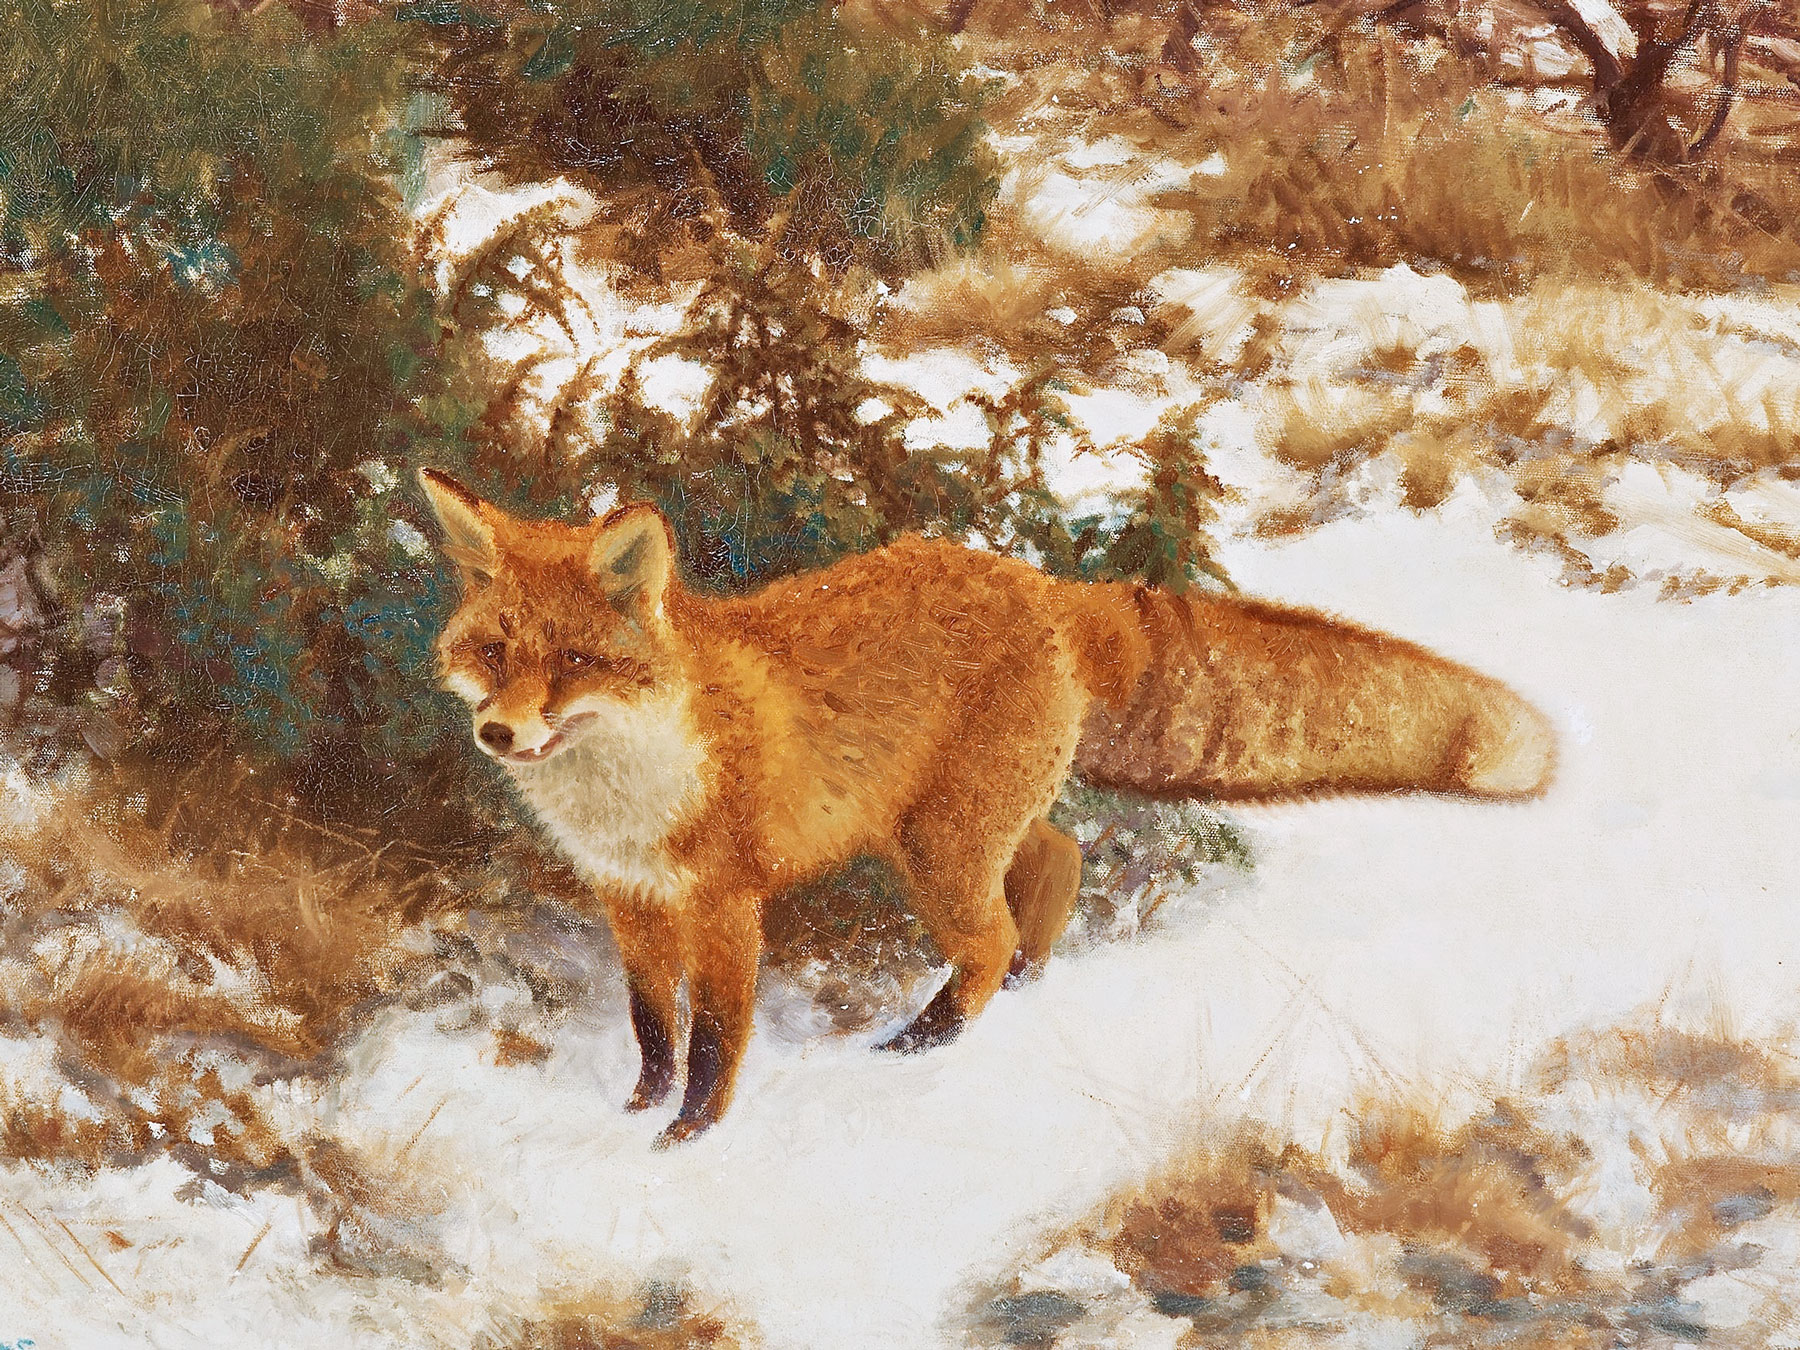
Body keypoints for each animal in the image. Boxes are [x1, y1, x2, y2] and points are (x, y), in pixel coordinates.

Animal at [418, 470, 1555, 1144]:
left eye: (573, 661)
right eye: (494, 651)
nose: (499, 736)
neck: (631, 783)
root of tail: (1041, 585)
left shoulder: (726, 903)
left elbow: (713, 1041)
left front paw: (685, 1137)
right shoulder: (630, 898)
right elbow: (652, 1025)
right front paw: (635, 1107)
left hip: (938, 849)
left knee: (993, 932)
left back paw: (928, 1040)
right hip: (952, 829)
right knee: (1056, 861)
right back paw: (1028, 986)